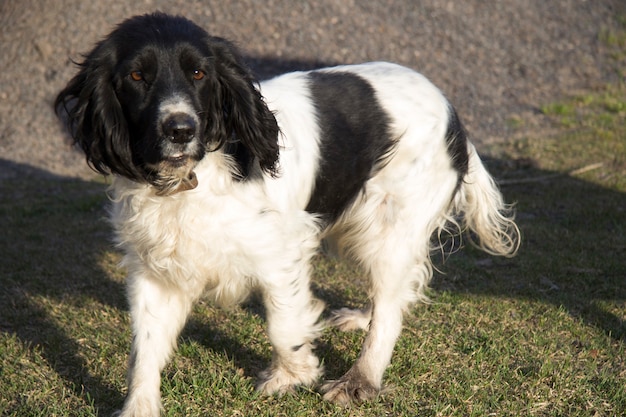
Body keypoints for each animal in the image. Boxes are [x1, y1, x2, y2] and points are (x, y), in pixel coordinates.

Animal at [56, 13, 516, 416]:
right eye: (137, 77)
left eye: (199, 74)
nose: (180, 130)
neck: (191, 180)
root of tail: (454, 117)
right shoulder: (154, 272)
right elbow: (144, 349)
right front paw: (139, 406)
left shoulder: (280, 253)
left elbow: (283, 324)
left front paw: (294, 374)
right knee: (394, 293)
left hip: (389, 227)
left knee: (389, 309)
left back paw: (359, 380)